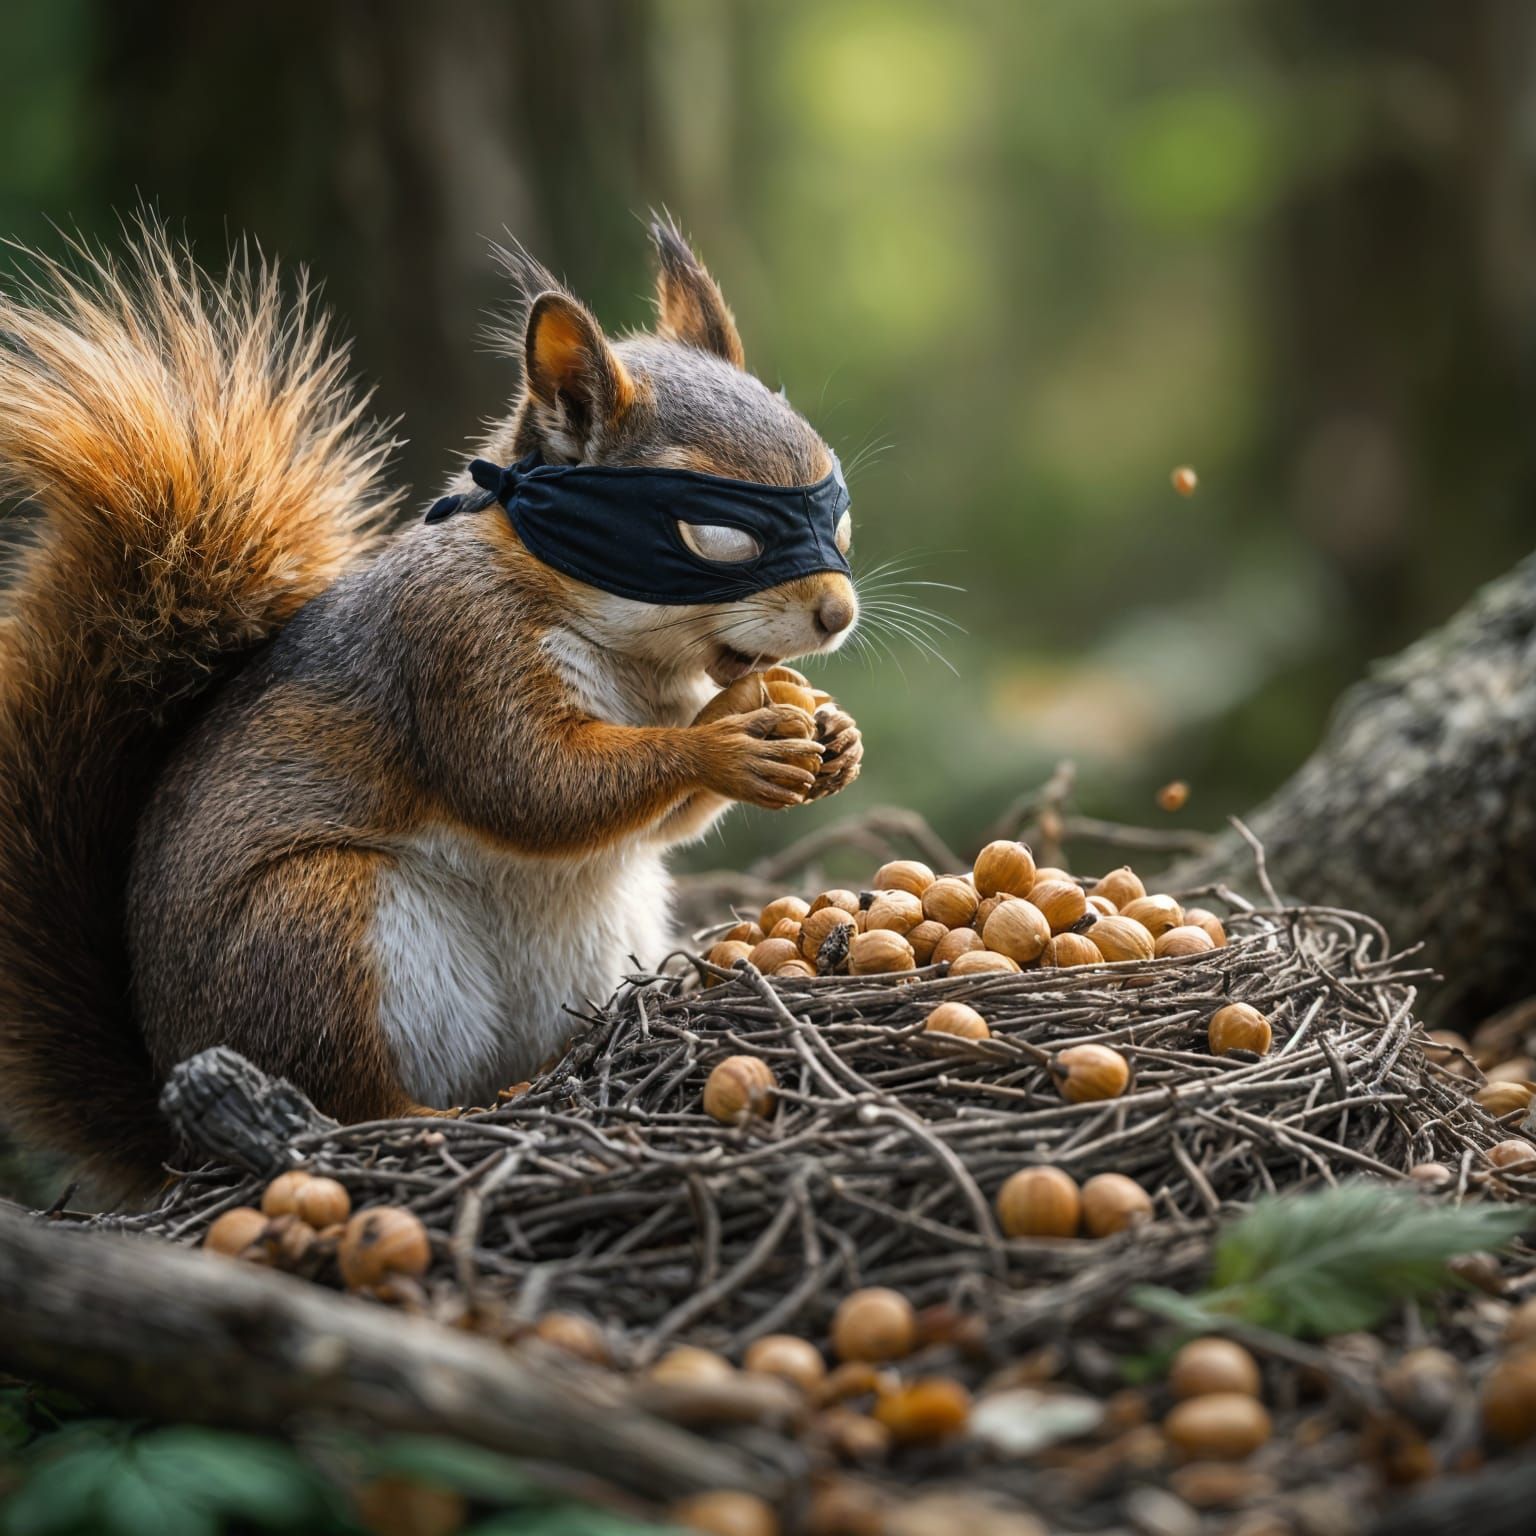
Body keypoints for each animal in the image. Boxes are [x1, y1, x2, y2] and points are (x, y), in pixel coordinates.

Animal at [0, 216, 863, 1197]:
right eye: (715, 531)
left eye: (835, 513)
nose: (837, 615)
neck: (629, 651)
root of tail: (173, 1135)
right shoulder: (454, 648)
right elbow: (529, 785)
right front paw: (725, 740)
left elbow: (649, 819)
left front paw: (829, 728)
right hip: (315, 930)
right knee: (351, 1102)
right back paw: (436, 1118)